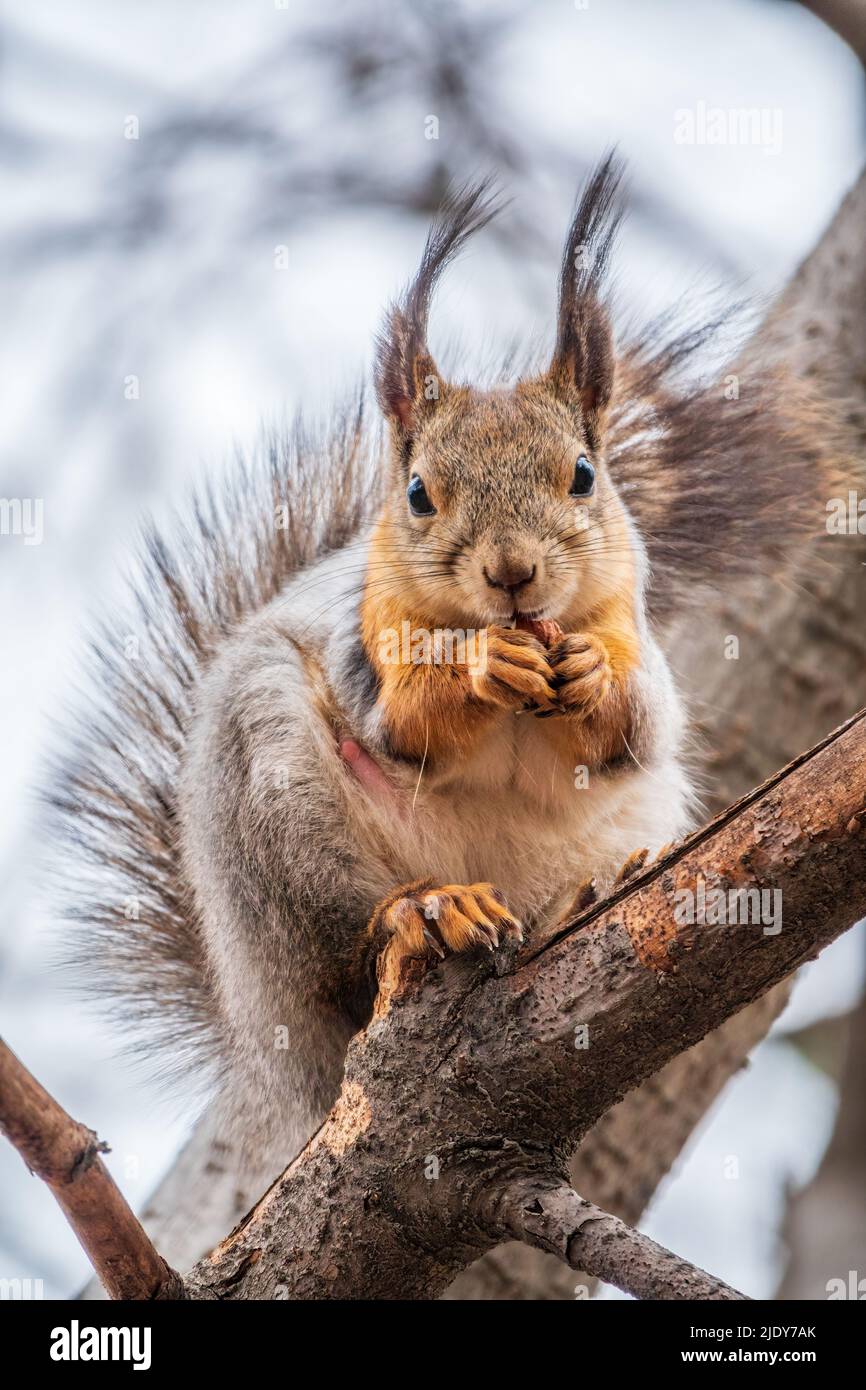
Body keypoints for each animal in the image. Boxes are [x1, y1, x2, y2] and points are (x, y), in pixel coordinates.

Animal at [53, 155, 836, 1190]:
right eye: (420, 493)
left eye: (585, 475)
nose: (512, 573)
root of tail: (274, 1044)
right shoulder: (366, 645)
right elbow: (405, 722)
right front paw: (476, 669)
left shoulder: (642, 652)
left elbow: (641, 725)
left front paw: (589, 675)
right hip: (275, 806)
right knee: (348, 941)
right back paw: (428, 907)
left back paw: (584, 896)